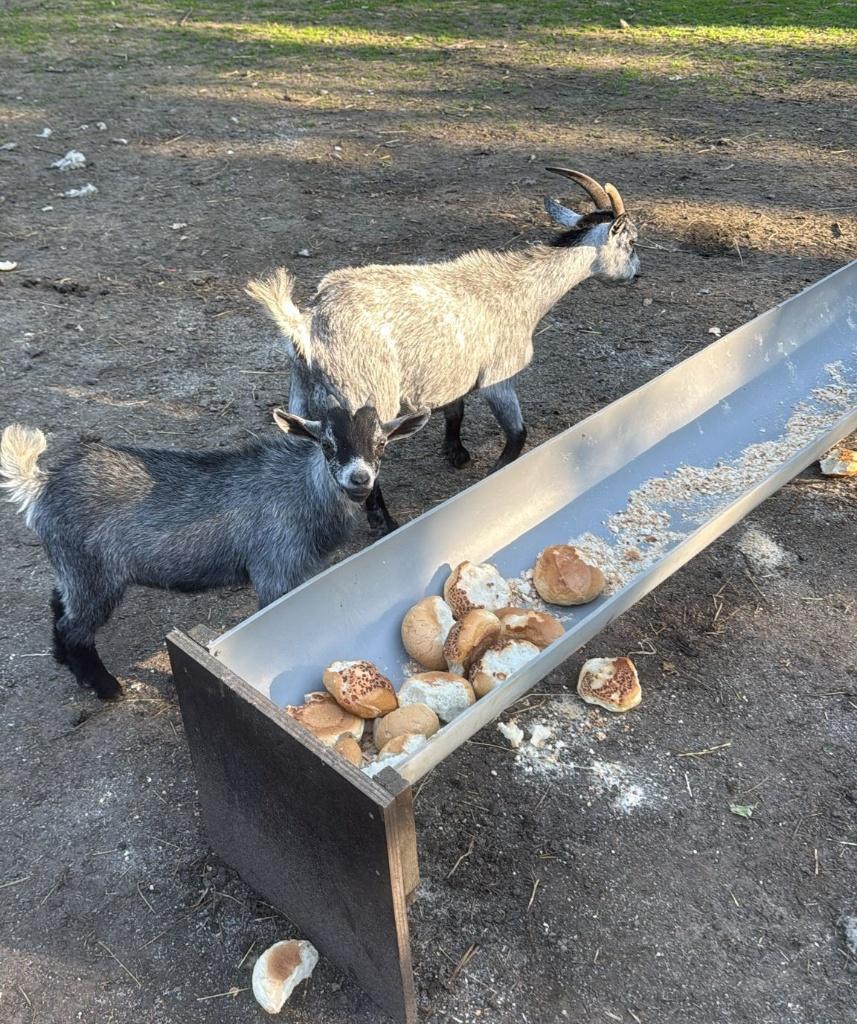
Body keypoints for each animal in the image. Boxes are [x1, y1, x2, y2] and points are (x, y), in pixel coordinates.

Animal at [0, 400, 429, 699]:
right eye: (327, 444)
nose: (360, 478)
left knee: (59, 605)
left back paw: (66, 663)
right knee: (75, 627)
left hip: (72, 567)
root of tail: (40, 485)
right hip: (93, 572)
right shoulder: (275, 568)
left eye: (381, 444)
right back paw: (106, 688)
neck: (301, 490)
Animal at [246, 168, 640, 534]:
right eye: (632, 242)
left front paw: (456, 452)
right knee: (363, 450)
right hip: (365, 393)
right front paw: (495, 475)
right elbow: (517, 433)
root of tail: (307, 323)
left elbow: (455, 410)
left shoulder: (454, 369)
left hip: (300, 390)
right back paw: (385, 522)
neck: (522, 291)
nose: (637, 273)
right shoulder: (498, 377)